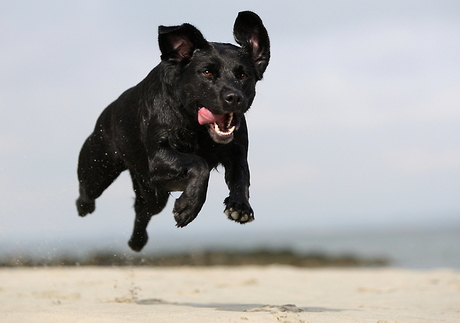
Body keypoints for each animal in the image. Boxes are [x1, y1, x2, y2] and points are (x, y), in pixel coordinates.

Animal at [75, 10, 270, 253]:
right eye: (207, 72)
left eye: (244, 76)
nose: (234, 97)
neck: (197, 129)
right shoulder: (158, 157)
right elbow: (199, 163)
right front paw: (188, 207)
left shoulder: (236, 152)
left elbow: (241, 178)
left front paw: (240, 207)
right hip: (98, 167)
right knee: (87, 192)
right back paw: (84, 207)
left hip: (152, 193)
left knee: (143, 211)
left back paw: (137, 242)